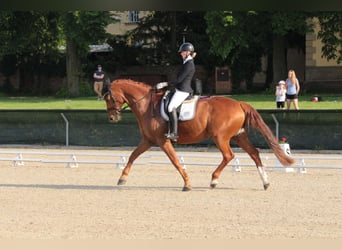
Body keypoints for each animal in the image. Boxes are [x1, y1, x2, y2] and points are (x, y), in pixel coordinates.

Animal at [103, 79, 294, 190]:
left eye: (108, 98)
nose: (112, 117)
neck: (147, 106)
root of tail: (239, 103)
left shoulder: (162, 141)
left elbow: (175, 161)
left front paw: (187, 184)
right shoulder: (148, 140)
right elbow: (132, 156)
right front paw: (122, 179)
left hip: (221, 137)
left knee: (229, 156)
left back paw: (214, 180)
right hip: (239, 136)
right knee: (254, 153)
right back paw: (265, 182)